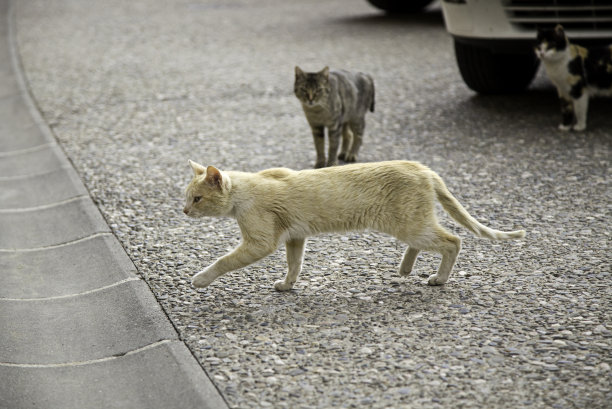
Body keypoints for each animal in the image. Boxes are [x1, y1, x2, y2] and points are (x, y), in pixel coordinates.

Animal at [183, 159, 524, 290]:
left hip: (411, 225)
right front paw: (288, 285)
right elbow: (294, 264)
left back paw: (439, 278)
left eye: (197, 199)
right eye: (187, 198)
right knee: (426, 243)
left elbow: (223, 261)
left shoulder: (260, 243)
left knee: (453, 241)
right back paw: (405, 268)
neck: (246, 189)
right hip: (412, 224)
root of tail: (422, 167)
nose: (184, 211)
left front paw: (200, 279)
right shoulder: (295, 237)